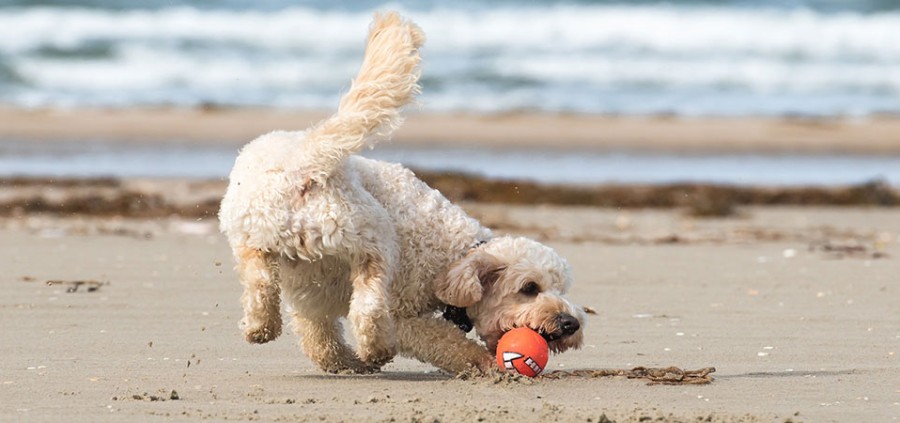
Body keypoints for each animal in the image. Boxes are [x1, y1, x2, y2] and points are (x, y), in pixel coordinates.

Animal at [218, 11, 584, 374]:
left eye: (560, 288)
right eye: (529, 289)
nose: (571, 323)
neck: (453, 257)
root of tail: (306, 161)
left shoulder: (310, 297)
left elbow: (319, 340)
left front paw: (345, 362)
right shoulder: (403, 313)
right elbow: (447, 342)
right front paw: (484, 363)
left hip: (257, 236)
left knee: (265, 283)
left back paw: (264, 327)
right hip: (373, 236)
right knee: (368, 304)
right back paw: (374, 347)